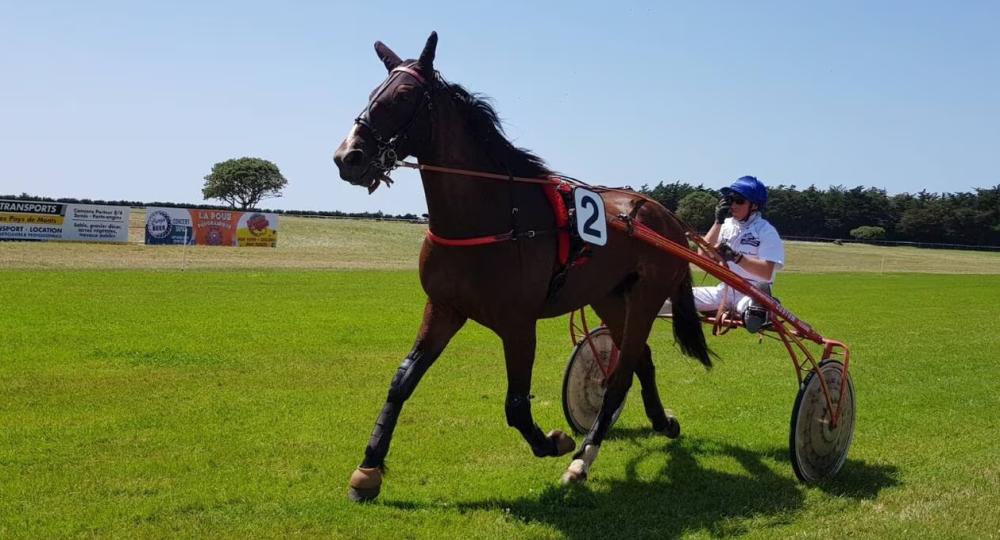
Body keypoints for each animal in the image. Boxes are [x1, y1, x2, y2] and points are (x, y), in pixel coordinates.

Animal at [336, 30, 712, 502]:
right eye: (373, 94)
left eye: (402, 96)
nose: (348, 157)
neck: (492, 214)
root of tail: (667, 217)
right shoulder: (443, 308)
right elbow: (401, 381)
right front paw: (368, 468)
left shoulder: (518, 323)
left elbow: (516, 405)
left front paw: (555, 442)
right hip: (610, 297)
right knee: (639, 358)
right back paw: (662, 422)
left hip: (646, 298)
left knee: (621, 375)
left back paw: (582, 459)